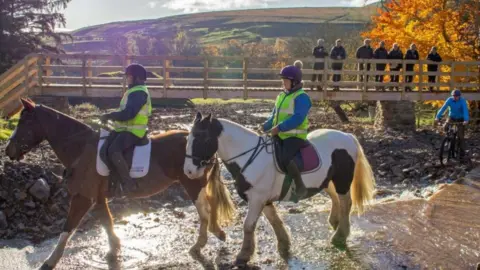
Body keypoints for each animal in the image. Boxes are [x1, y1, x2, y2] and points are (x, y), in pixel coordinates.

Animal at [3, 98, 236, 270]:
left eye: (24, 123)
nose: (8, 150)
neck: (81, 148)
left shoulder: (83, 198)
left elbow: (67, 229)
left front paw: (50, 261)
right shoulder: (98, 198)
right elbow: (107, 223)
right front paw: (114, 249)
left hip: (193, 184)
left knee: (205, 211)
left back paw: (200, 244)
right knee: (210, 207)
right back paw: (214, 235)